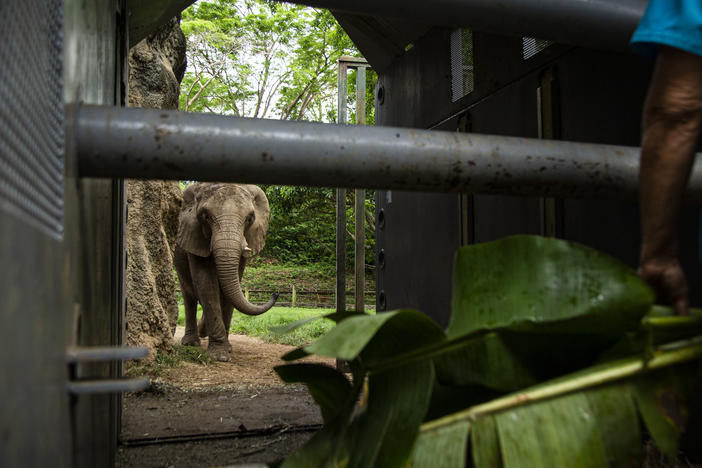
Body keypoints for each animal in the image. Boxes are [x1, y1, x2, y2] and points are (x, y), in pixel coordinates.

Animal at [175, 183, 280, 362]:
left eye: (250, 218)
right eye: (206, 216)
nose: (276, 293)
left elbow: (231, 285)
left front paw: (227, 348)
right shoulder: (194, 237)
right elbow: (206, 284)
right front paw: (220, 355)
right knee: (189, 297)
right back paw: (191, 343)